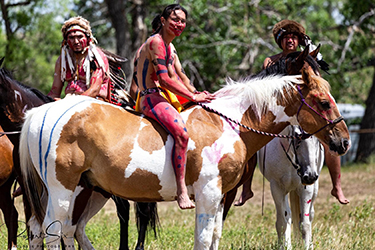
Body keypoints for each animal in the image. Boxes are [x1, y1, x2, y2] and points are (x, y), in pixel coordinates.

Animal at [19, 61, 350, 249]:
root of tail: (39, 113)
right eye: (323, 102)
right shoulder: (208, 193)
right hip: (63, 191)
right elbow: (202, 240)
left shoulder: (220, 197)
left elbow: (213, 236)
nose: (344, 141)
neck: (227, 122)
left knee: (51, 231)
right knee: (52, 232)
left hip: (84, 191)